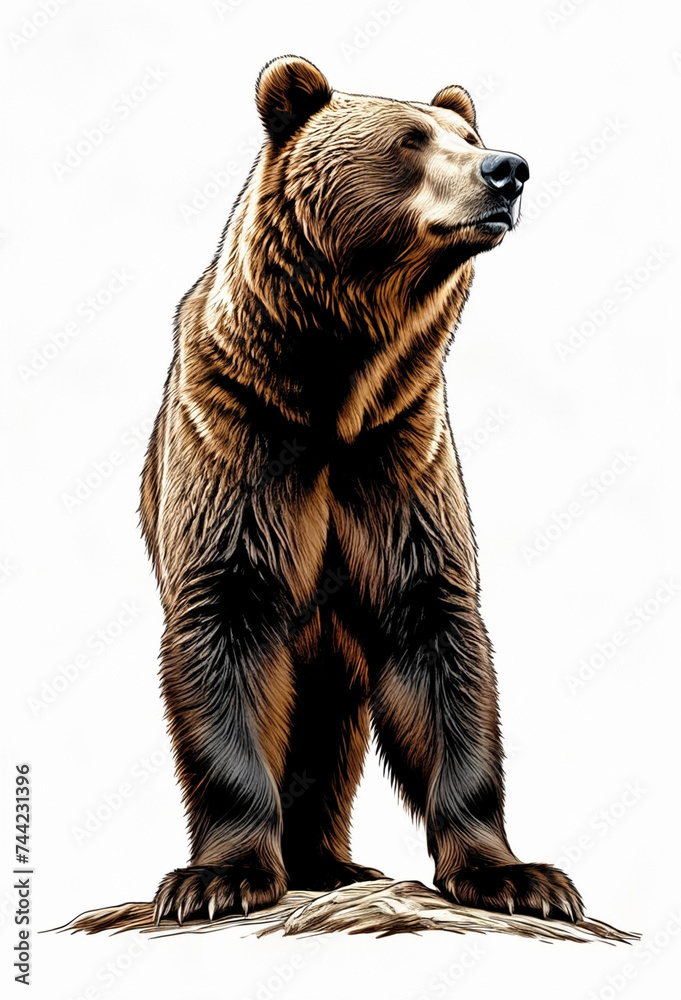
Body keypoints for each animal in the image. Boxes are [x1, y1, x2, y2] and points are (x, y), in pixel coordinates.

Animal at [140, 55, 583, 925]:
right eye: (410, 139)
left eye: (468, 134)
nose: (506, 170)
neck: (335, 387)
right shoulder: (238, 434)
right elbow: (224, 625)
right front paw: (217, 878)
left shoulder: (399, 450)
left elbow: (436, 642)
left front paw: (518, 876)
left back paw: (332, 862)